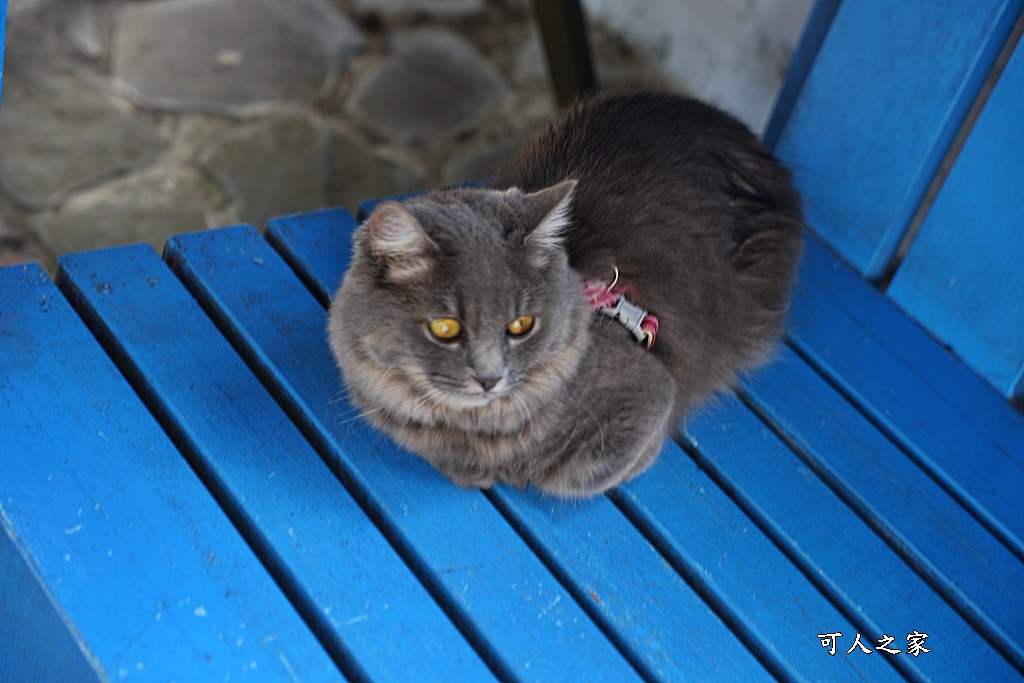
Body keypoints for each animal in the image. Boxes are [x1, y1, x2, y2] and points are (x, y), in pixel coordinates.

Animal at [327, 92, 798, 497]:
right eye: (445, 328)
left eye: (521, 325)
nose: (489, 378)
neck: (474, 426)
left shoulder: (653, 398)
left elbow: (579, 474)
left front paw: (514, 472)